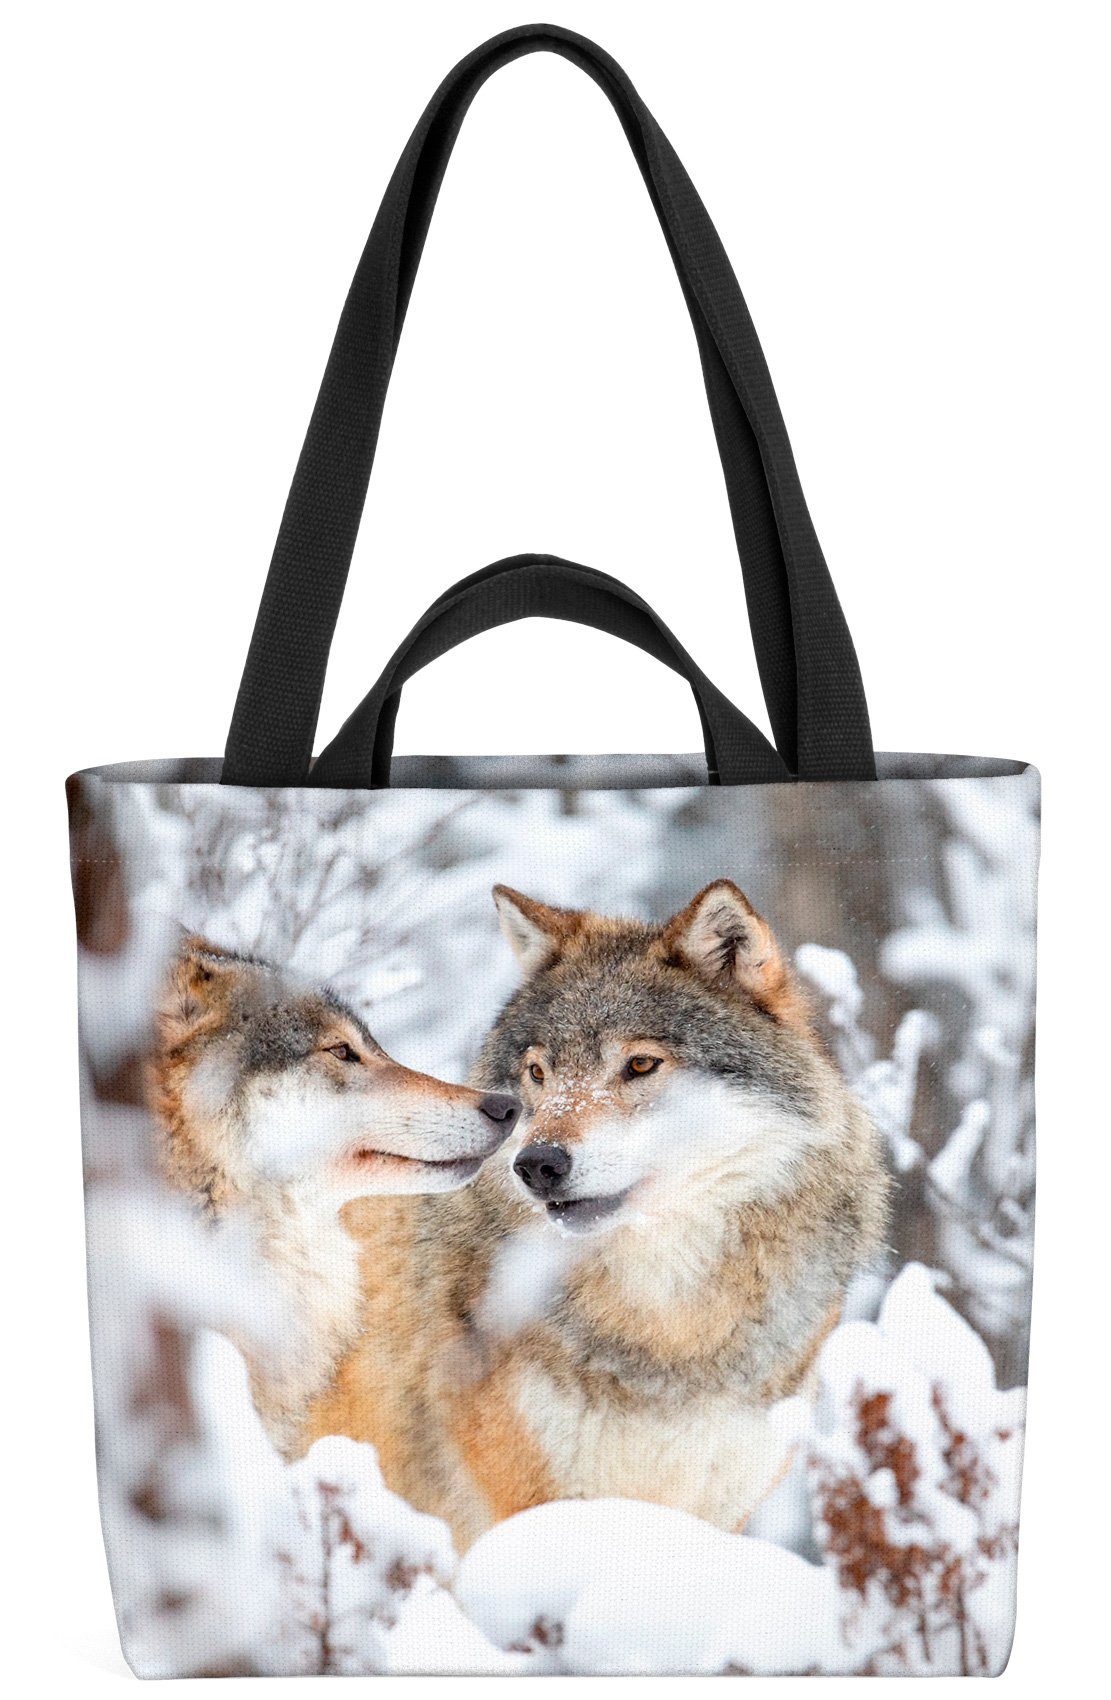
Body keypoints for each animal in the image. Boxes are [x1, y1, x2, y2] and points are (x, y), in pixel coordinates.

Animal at [304, 882, 891, 1547]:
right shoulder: (536, 1508)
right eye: (538, 1073)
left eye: (640, 1065)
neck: (670, 1331)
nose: (536, 1164)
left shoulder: (715, 1513)